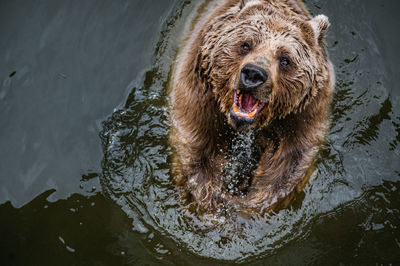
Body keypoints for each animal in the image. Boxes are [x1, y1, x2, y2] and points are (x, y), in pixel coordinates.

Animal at [169, 0, 334, 215]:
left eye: (285, 59)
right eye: (245, 45)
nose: (254, 73)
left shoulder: (303, 113)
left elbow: (289, 163)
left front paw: (243, 201)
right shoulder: (200, 94)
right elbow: (196, 146)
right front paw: (213, 196)